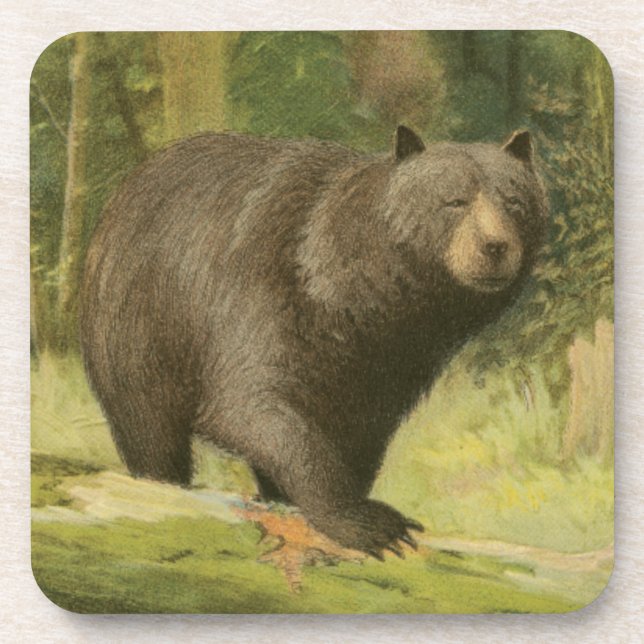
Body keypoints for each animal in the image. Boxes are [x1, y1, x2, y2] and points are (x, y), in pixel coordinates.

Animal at [80, 126, 548, 559]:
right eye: (454, 201)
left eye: (515, 202)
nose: (495, 246)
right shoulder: (261, 292)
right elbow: (252, 404)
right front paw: (370, 521)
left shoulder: (394, 363)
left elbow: (362, 431)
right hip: (138, 325)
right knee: (149, 427)